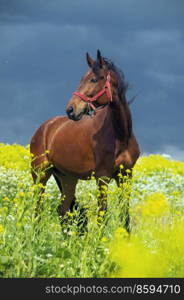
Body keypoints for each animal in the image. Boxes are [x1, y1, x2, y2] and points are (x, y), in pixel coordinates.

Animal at [29, 49, 139, 232]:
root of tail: (44, 128)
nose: (71, 109)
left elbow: (125, 215)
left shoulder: (126, 176)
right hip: (40, 175)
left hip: (67, 179)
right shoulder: (102, 178)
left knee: (63, 211)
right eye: (81, 79)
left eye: (94, 79)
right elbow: (102, 215)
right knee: (38, 209)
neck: (120, 137)